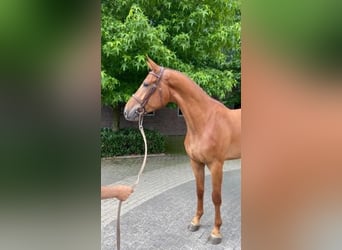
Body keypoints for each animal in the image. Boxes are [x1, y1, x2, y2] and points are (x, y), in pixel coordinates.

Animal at [123, 57, 240, 244]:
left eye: (146, 84)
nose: (127, 111)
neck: (205, 121)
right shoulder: (196, 162)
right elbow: (199, 191)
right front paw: (195, 221)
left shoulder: (216, 165)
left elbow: (216, 197)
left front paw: (216, 232)